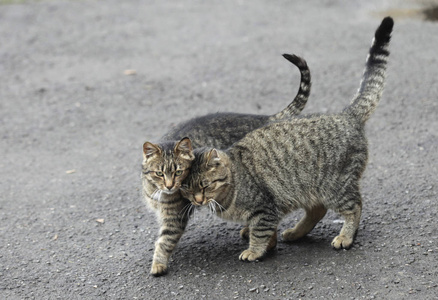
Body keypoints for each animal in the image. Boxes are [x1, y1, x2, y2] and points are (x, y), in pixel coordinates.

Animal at [141, 54, 312, 276]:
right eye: (159, 174)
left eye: (179, 172)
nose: (170, 186)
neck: (156, 191)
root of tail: (263, 118)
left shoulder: (174, 216)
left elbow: (164, 241)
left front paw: (158, 263)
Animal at [181, 17, 394, 262]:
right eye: (187, 189)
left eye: (205, 185)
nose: (198, 200)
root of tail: (346, 115)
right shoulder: (268, 210)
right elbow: (266, 230)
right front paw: (269, 244)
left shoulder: (263, 208)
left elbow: (260, 231)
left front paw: (254, 251)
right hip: (313, 187)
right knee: (318, 209)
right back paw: (296, 233)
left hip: (336, 185)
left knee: (354, 206)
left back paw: (345, 236)